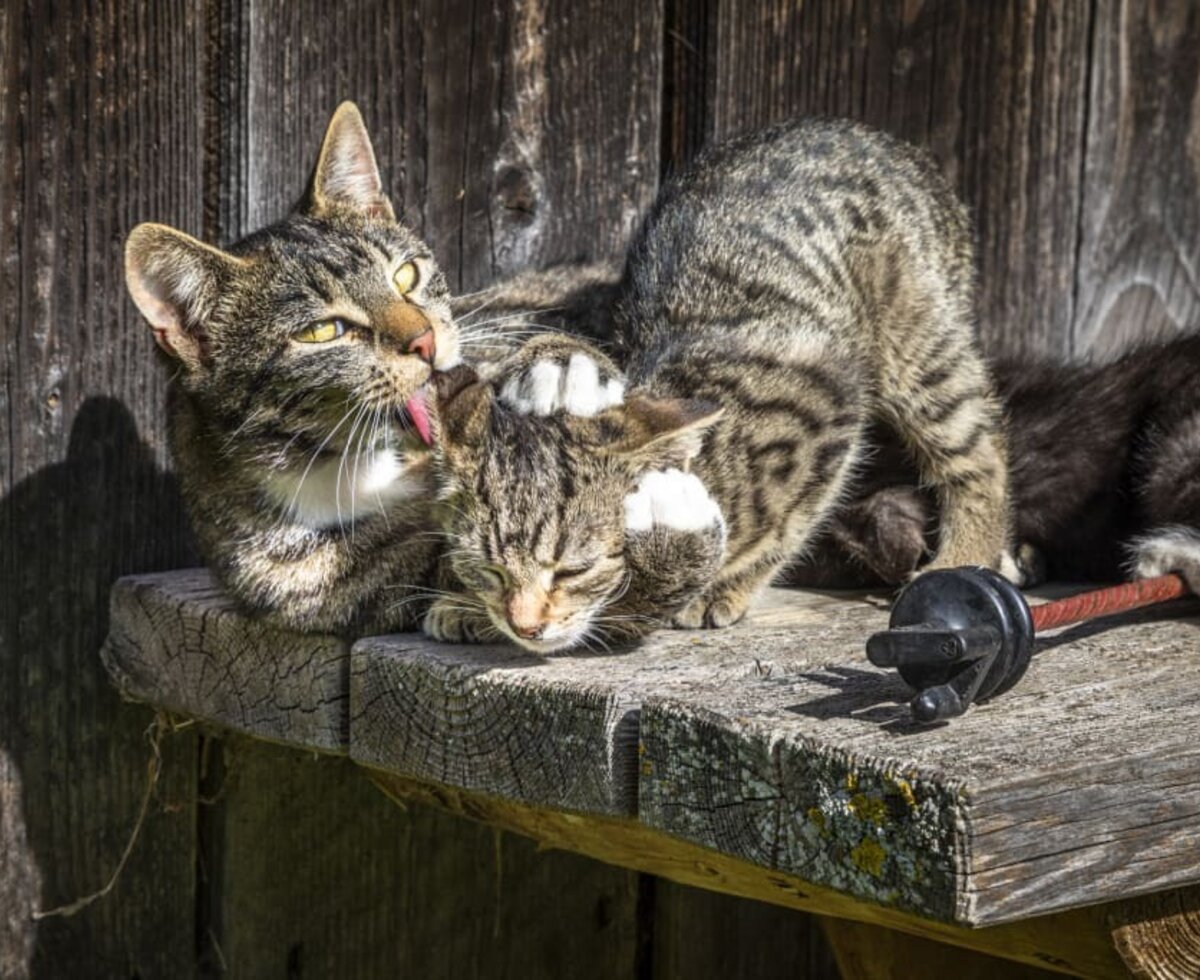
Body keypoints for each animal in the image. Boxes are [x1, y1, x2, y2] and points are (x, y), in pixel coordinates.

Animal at [427, 116, 1017, 647]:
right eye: (489, 569)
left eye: (574, 570)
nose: (524, 625)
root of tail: (884, 143)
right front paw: (466, 606)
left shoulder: (828, 407)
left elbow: (787, 525)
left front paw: (721, 585)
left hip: (916, 344)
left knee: (978, 450)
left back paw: (965, 554)